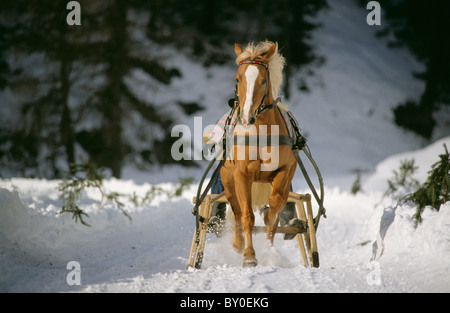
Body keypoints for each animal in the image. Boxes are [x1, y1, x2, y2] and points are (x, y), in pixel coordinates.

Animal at [220, 40, 298, 266]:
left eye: (263, 80)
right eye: (237, 79)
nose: (246, 118)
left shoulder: (285, 171)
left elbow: (273, 213)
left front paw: (268, 251)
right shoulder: (241, 175)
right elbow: (246, 216)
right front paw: (249, 255)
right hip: (228, 179)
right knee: (236, 211)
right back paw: (238, 243)